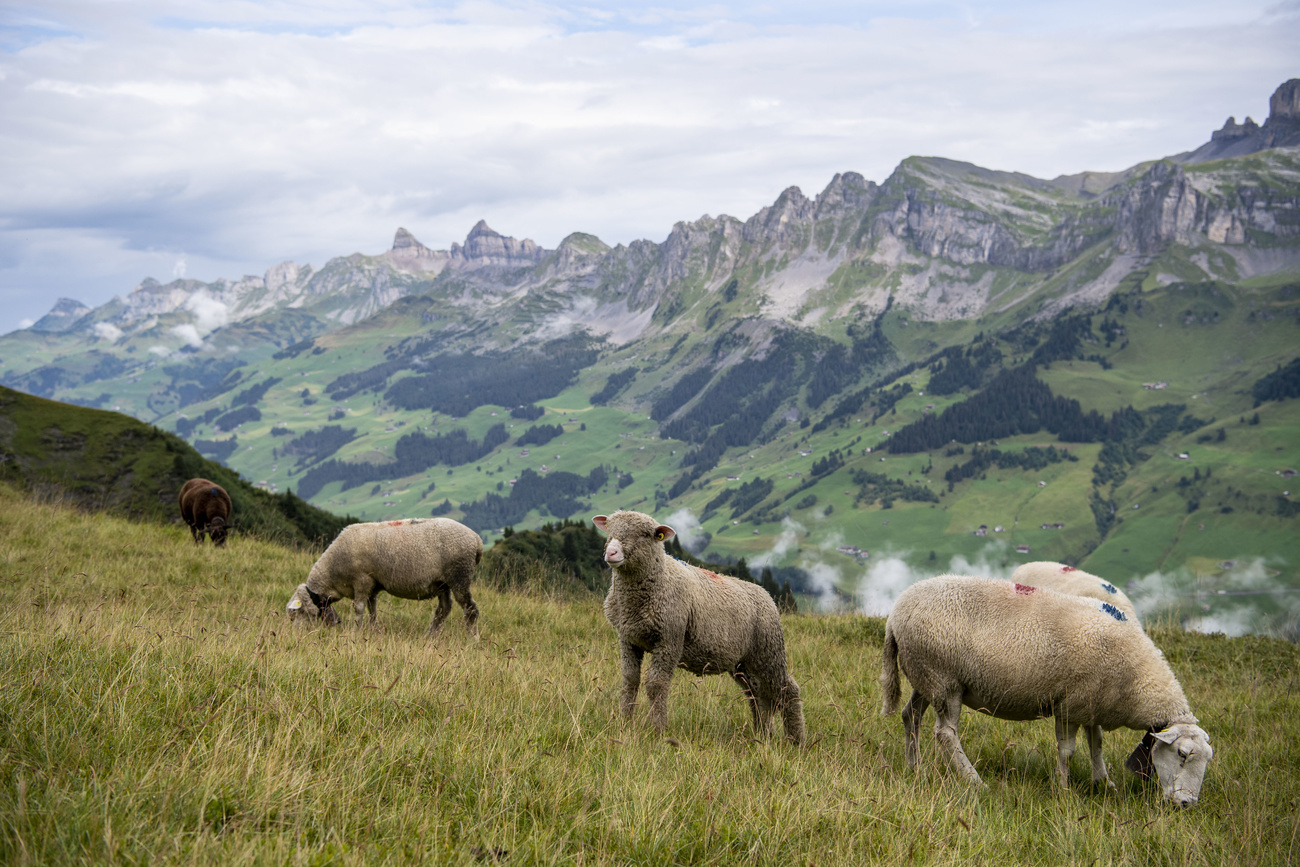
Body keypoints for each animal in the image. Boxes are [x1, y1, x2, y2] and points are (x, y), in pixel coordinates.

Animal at [286, 517, 482, 637]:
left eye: (298, 613)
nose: (297, 635)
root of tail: (476, 539)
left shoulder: (362, 580)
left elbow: (359, 609)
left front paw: (355, 632)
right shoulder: (372, 585)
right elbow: (372, 610)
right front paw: (374, 632)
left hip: (459, 575)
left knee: (470, 609)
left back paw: (472, 640)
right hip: (442, 582)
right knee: (443, 609)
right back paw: (430, 637)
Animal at [594, 510, 805, 745]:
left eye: (644, 534)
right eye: (609, 529)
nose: (611, 552)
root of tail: (766, 595)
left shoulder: (669, 639)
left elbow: (656, 684)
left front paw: (658, 730)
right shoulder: (628, 639)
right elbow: (630, 680)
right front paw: (625, 723)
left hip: (768, 651)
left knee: (787, 689)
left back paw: (796, 740)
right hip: (743, 662)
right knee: (757, 694)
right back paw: (762, 734)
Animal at [881, 574, 1212, 806]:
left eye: (1207, 760)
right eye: (1182, 755)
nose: (1186, 804)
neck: (1136, 676)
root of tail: (895, 612)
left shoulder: (1092, 704)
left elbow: (1096, 745)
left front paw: (1103, 783)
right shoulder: (1070, 705)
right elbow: (1067, 751)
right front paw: (1063, 790)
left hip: (926, 676)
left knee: (911, 716)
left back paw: (914, 767)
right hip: (944, 679)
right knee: (946, 734)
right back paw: (975, 781)